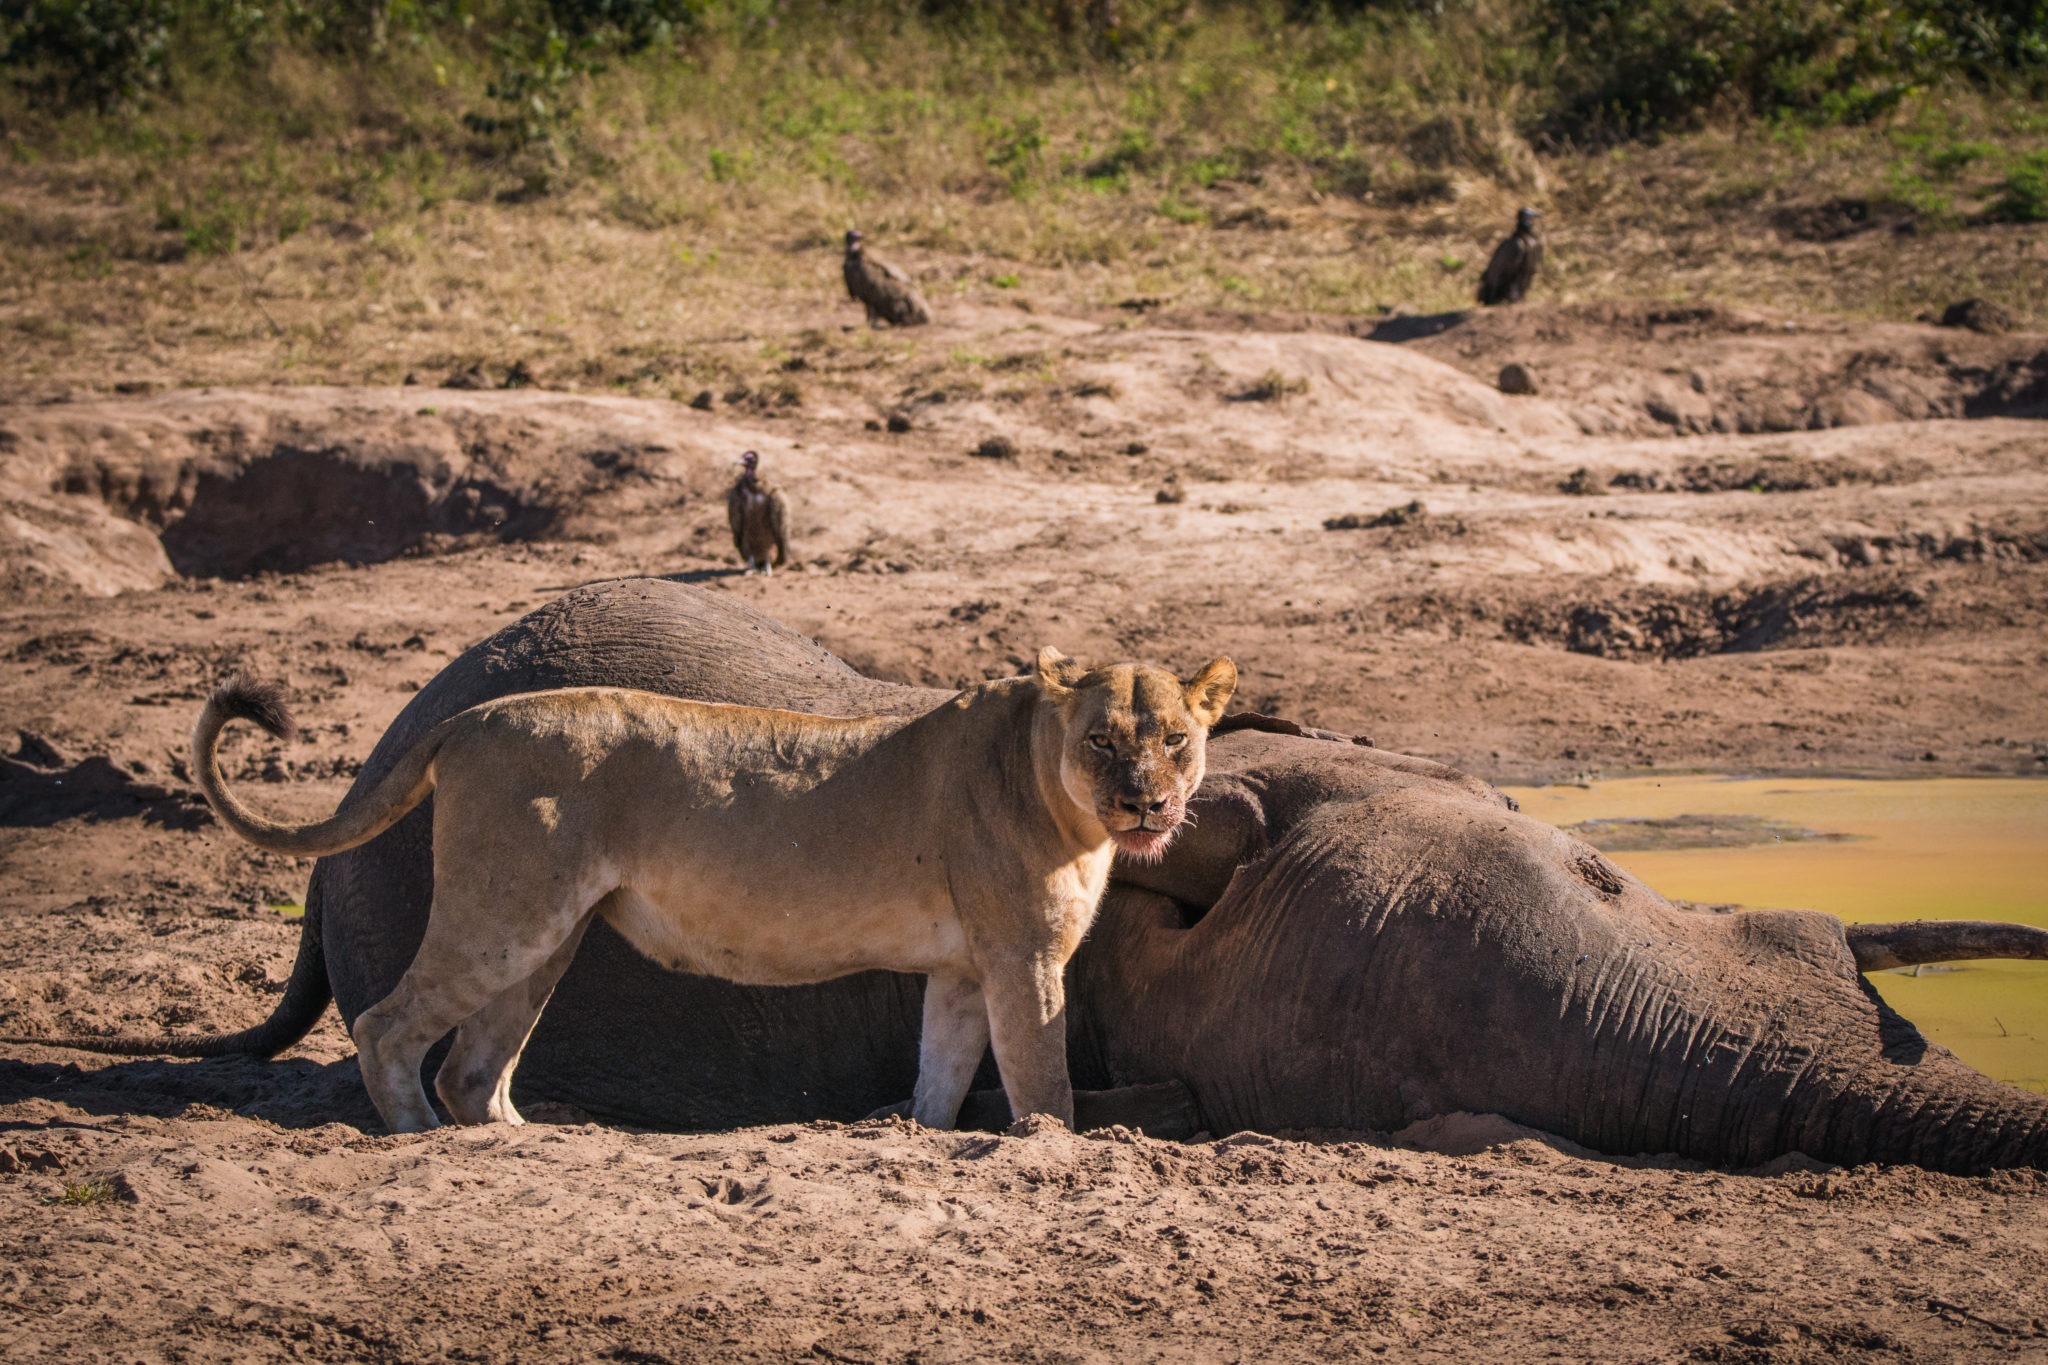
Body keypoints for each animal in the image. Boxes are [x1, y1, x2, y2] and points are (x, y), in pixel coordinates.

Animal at [189, 647, 1237, 1135]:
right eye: (1102, 739)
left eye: (1175, 739)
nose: (1147, 800)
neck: (1068, 805)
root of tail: (471, 718)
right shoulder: (1023, 958)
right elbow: (1044, 1083)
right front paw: (1051, 1149)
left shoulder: (964, 970)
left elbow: (940, 1080)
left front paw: (923, 1136)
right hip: (505, 916)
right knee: (388, 1028)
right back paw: (417, 1140)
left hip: (548, 937)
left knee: (473, 1068)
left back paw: (517, 1143)